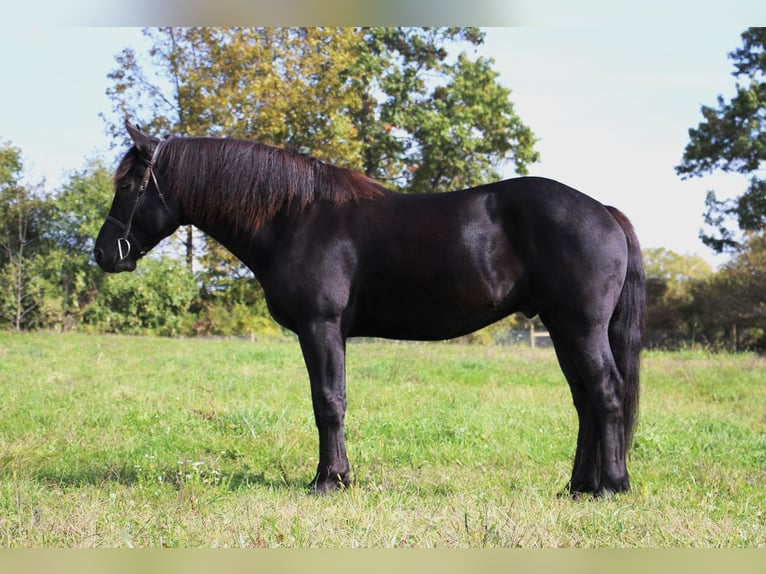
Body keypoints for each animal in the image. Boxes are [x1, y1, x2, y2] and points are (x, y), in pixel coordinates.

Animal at [96, 122, 648, 500]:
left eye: (128, 186)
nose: (104, 253)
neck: (294, 217)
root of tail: (604, 211)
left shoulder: (320, 327)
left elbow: (328, 402)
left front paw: (330, 480)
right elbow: (331, 401)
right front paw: (336, 476)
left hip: (581, 327)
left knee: (607, 394)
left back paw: (611, 486)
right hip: (561, 327)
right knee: (585, 402)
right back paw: (577, 486)